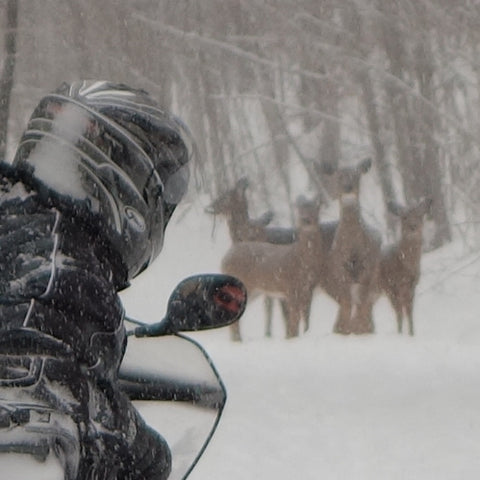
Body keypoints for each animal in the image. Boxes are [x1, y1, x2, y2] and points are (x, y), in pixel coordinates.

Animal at [221, 195, 326, 342]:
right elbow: (293, 322)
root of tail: (225, 257)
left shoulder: (308, 290)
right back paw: (238, 341)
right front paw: (292, 339)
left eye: (316, 208)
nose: (305, 220)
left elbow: (305, 320)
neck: (303, 263)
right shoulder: (291, 289)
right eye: (300, 210)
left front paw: (304, 335)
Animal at [318, 158, 382, 334]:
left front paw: (359, 328)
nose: (348, 187)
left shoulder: (368, 266)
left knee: (365, 302)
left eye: (357, 176)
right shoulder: (339, 268)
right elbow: (347, 301)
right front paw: (347, 329)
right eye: (339, 176)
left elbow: (361, 301)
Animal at [380, 197, 434, 336]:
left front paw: (411, 334)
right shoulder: (391, 286)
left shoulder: (411, 286)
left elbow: (409, 313)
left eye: (419, 216)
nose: (413, 226)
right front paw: (400, 335)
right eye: (404, 217)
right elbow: (400, 314)